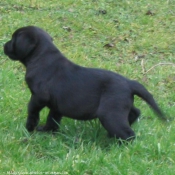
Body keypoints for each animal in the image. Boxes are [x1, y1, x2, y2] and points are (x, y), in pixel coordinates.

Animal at [3, 26, 167, 141]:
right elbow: (52, 118)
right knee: (135, 112)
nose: (4, 45)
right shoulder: (56, 105)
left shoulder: (38, 97)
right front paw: (48, 131)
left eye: (13, 39)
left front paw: (29, 128)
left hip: (110, 114)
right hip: (120, 106)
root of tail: (130, 83)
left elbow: (32, 111)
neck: (41, 56)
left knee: (129, 134)